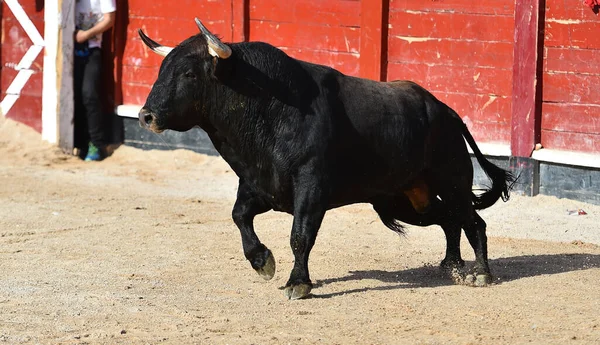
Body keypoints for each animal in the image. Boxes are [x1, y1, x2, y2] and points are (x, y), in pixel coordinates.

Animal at [137, 19, 516, 298]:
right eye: (161, 70)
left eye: (189, 74)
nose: (146, 115)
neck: (271, 105)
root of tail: (447, 112)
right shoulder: (259, 183)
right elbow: (239, 216)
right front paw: (262, 262)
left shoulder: (311, 187)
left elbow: (300, 235)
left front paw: (297, 283)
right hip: (403, 200)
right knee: (450, 220)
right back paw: (451, 266)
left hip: (451, 181)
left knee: (472, 222)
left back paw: (480, 274)